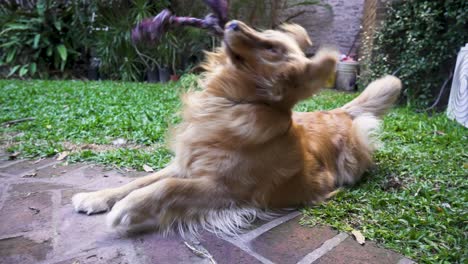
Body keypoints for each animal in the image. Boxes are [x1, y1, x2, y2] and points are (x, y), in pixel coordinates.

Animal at [73, 20, 402, 235]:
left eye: (271, 48)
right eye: (266, 34)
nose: (231, 23)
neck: (228, 102)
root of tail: (340, 111)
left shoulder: (227, 189)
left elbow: (168, 187)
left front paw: (126, 209)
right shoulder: (185, 163)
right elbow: (140, 180)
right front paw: (97, 197)